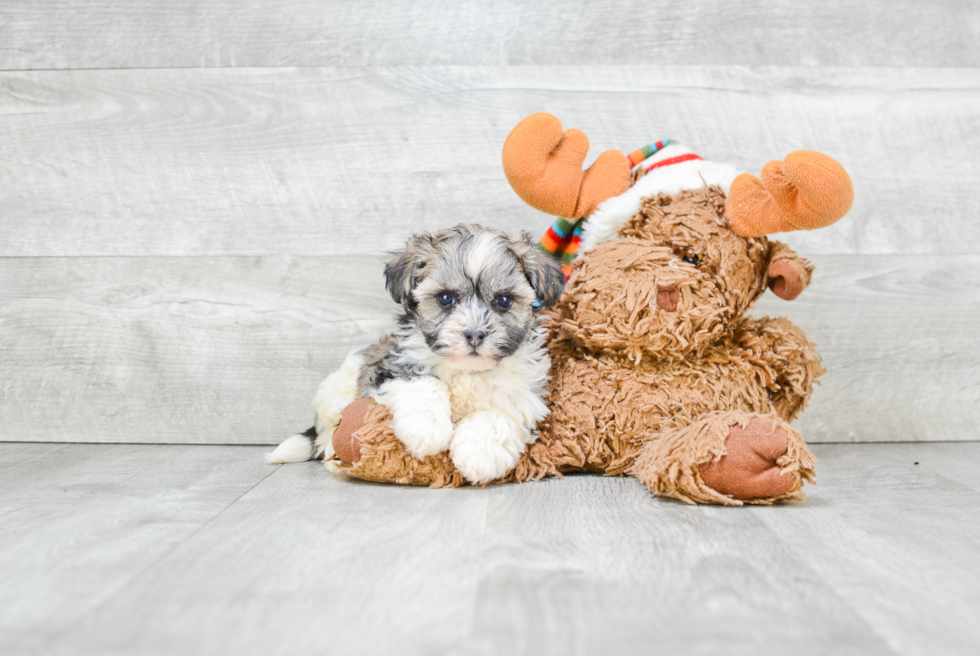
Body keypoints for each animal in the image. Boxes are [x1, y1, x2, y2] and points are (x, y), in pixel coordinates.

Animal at [264, 223, 568, 484]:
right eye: (445, 299)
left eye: (503, 301)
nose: (474, 334)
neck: (467, 370)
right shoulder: (394, 364)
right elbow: (423, 384)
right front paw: (427, 431)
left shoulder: (525, 395)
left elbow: (499, 414)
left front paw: (478, 455)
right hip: (337, 389)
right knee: (328, 429)